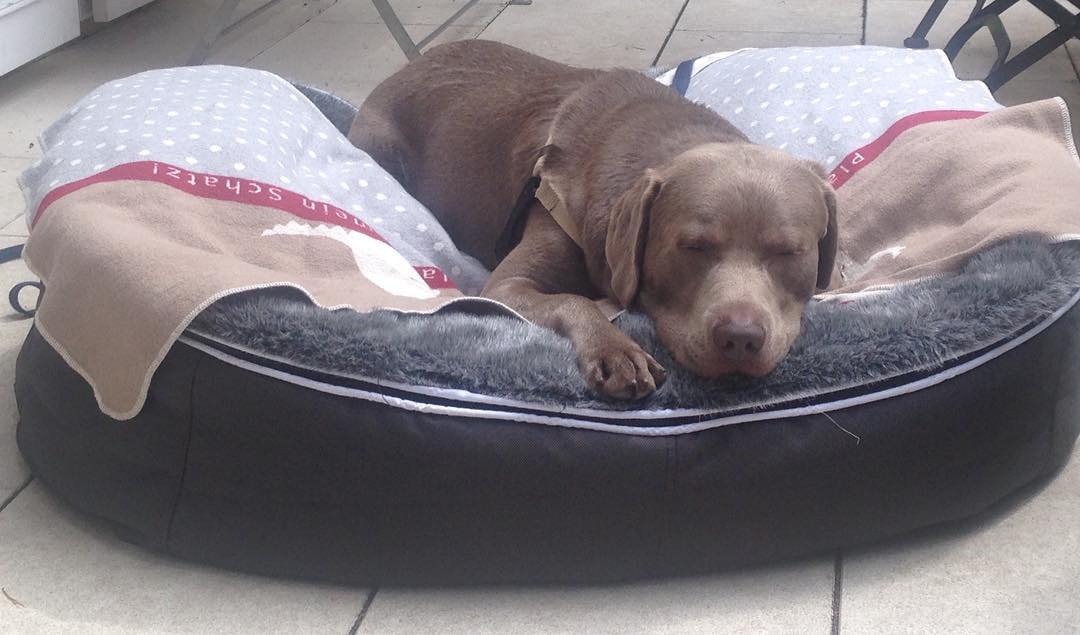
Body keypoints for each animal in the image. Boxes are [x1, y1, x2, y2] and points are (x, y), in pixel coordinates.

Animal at [348, 40, 837, 400]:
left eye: (789, 252)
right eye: (693, 247)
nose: (740, 338)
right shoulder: (506, 288)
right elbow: (571, 300)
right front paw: (614, 350)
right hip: (381, 144)